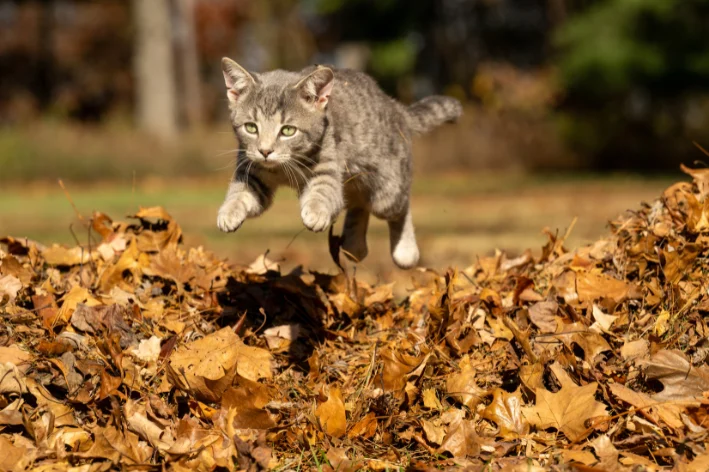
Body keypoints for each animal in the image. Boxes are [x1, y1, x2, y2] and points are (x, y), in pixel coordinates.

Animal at [216, 57, 462, 268]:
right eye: (251, 127)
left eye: (287, 130)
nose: (265, 151)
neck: (282, 169)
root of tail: (394, 105)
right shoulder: (251, 174)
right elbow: (239, 194)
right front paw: (229, 212)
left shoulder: (327, 170)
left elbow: (322, 192)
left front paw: (315, 211)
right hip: (356, 181)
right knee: (358, 203)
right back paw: (355, 245)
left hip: (387, 194)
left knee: (400, 206)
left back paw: (405, 250)